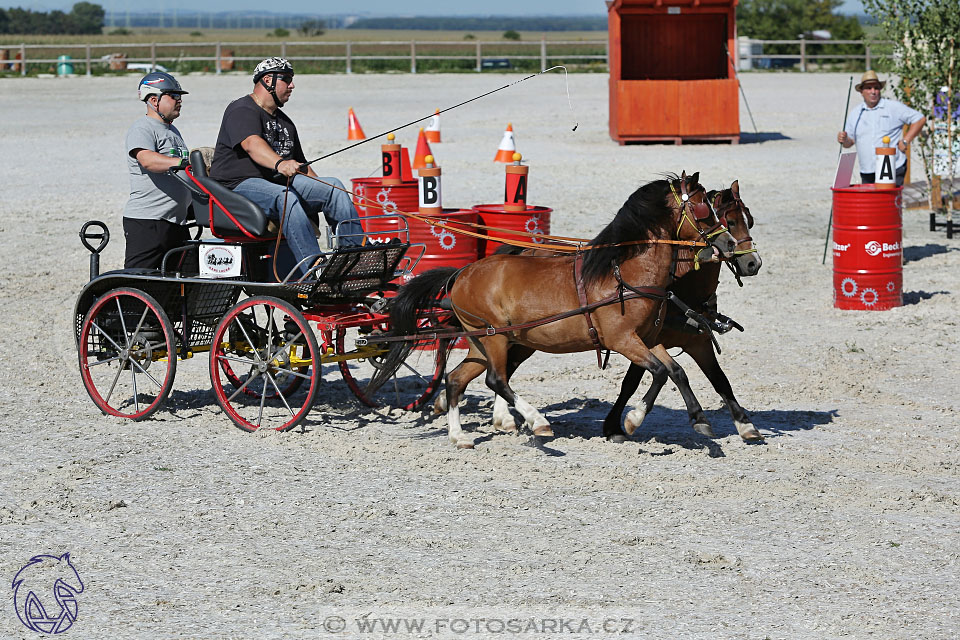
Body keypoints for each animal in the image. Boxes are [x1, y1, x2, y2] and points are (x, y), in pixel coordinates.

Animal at [372, 172, 740, 448]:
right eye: (704, 208)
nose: (729, 245)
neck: (624, 273)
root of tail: (461, 273)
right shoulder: (623, 340)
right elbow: (661, 372)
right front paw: (632, 421)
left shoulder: (648, 339)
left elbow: (674, 371)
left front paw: (699, 420)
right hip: (494, 338)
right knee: (496, 379)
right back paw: (537, 422)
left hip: (481, 342)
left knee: (456, 379)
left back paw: (459, 436)